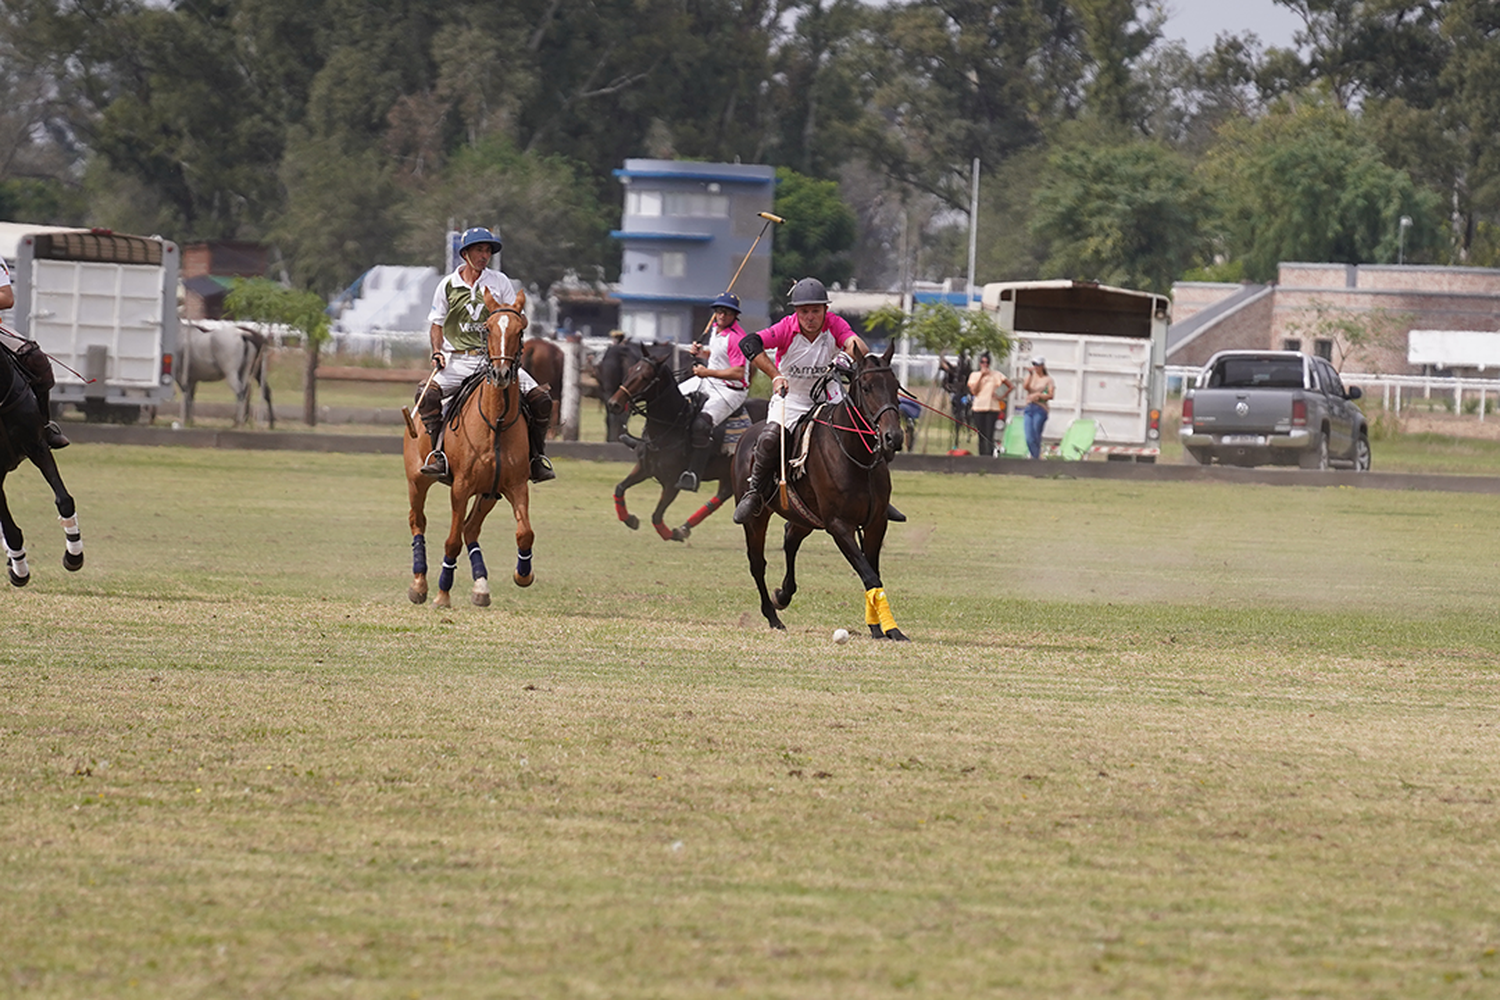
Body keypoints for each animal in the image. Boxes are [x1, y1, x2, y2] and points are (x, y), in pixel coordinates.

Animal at [405, 284, 534, 605]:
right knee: (418, 521)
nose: (500, 374)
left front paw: (523, 575)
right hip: (416, 480)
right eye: (487, 328)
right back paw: (419, 584)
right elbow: (451, 541)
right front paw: (442, 594)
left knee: (471, 530)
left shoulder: (516, 485)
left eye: (521, 330)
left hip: (489, 493)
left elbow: (525, 532)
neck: (496, 423)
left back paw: (481, 586)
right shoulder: (461, 487)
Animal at [606, 347, 768, 542]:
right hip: (729, 472)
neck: (671, 425)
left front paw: (671, 534)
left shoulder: (672, 482)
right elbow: (620, 488)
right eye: (630, 370)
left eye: (645, 377)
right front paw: (630, 519)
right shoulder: (644, 468)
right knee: (723, 494)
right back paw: (685, 527)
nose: (614, 404)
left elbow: (656, 515)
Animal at [732, 344, 906, 641]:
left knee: (790, 537)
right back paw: (773, 616)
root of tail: (746, 435)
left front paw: (879, 628)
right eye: (867, 387)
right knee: (757, 563)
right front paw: (890, 629)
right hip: (757, 518)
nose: (893, 437)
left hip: (806, 515)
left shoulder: (876, 522)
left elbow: (872, 573)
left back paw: (783, 594)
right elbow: (870, 575)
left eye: (895, 386)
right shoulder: (839, 525)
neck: (855, 453)